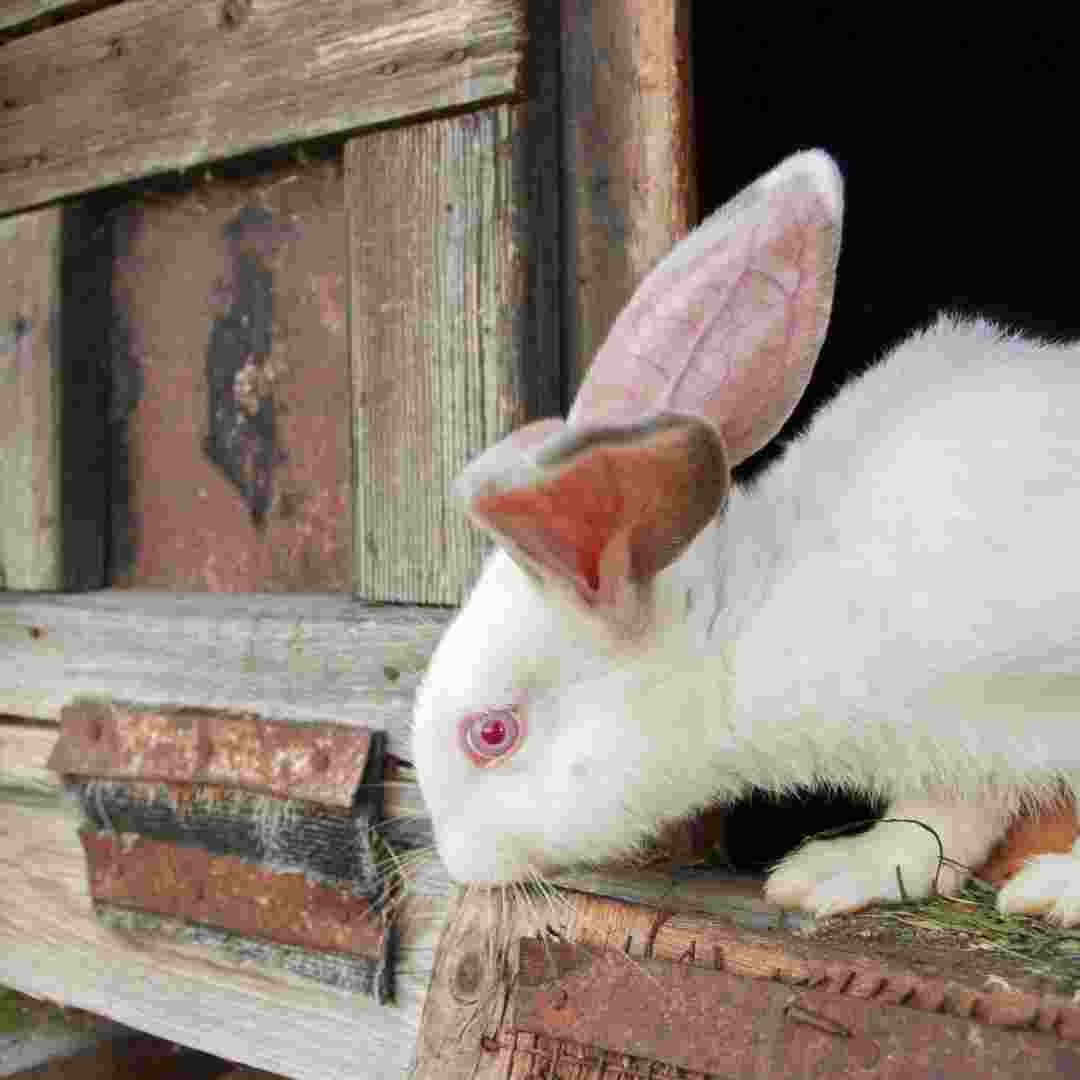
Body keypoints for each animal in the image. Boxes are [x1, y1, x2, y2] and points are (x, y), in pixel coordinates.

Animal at [410, 150, 1080, 928]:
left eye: (492, 734)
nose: (457, 864)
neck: (746, 623)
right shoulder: (963, 744)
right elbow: (941, 819)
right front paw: (837, 873)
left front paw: (1057, 889)